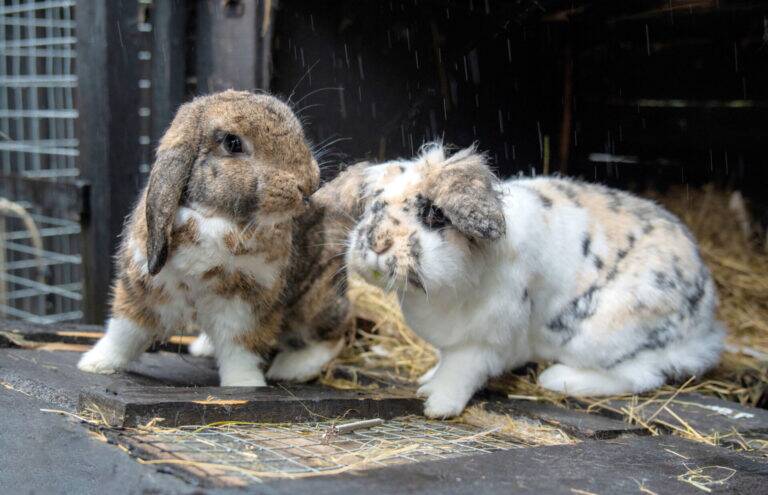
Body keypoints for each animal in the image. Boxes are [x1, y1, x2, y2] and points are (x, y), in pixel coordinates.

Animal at [78, 90, 321, 387]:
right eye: (232, 143)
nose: (308, 185)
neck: (216, 219)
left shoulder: (246, 307)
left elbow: (239, 350)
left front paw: (244, 384)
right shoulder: (143, 290)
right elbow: (124, 333)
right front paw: (95, 364)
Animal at [338, 143, 724, 418]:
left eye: (434, 215)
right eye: (373, 207)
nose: (376, 243)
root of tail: (704, 321)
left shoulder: (488, 340)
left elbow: (461, 371)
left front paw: (437, 404)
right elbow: (445, 362)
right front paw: (426, 380)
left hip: (604, 333)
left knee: (641, 374)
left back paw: (557, 378)